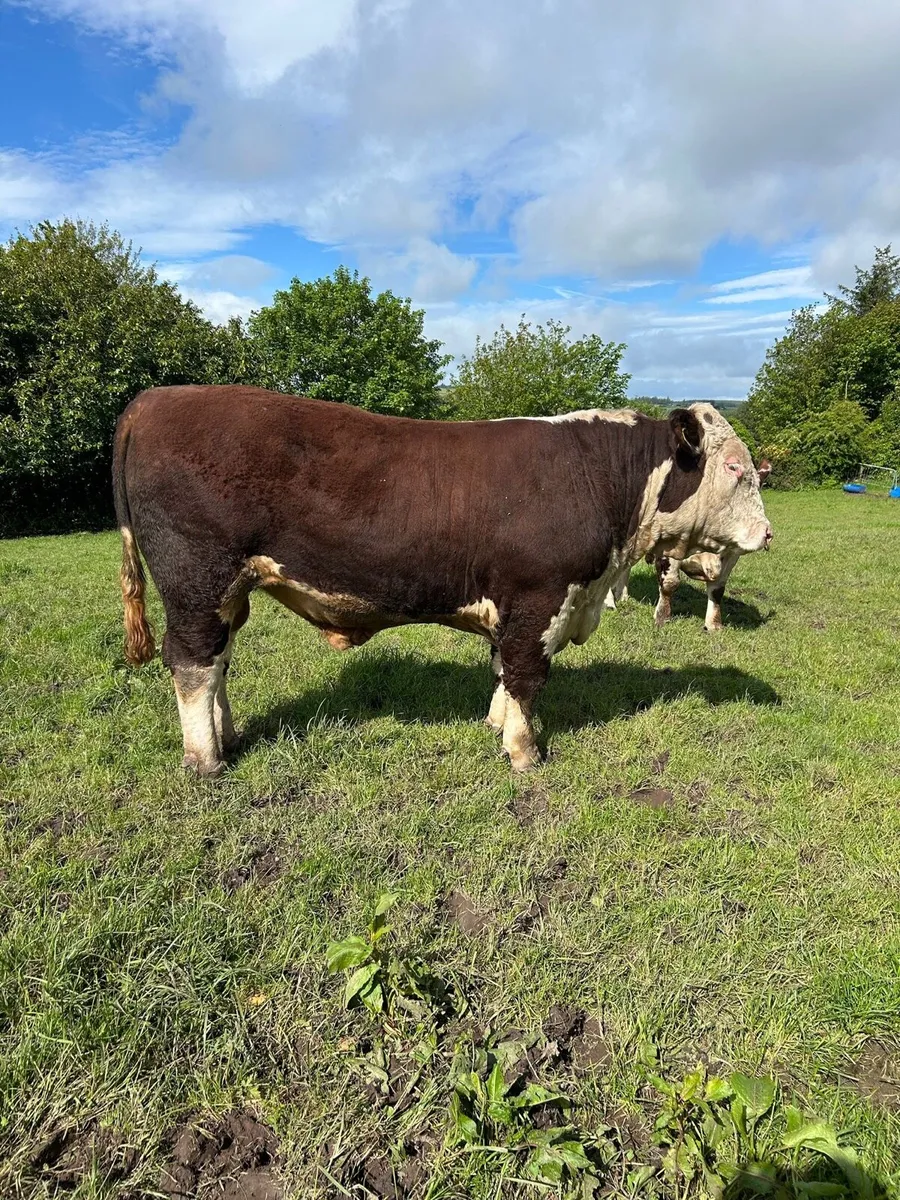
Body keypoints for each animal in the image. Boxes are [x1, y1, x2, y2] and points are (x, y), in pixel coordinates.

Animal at [604, 460, 771, 632]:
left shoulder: (732, 556)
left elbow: (718, 589)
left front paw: (714, 625)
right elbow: (670, 583)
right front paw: (662, 618)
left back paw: (623, 596)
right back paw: (610, 603)